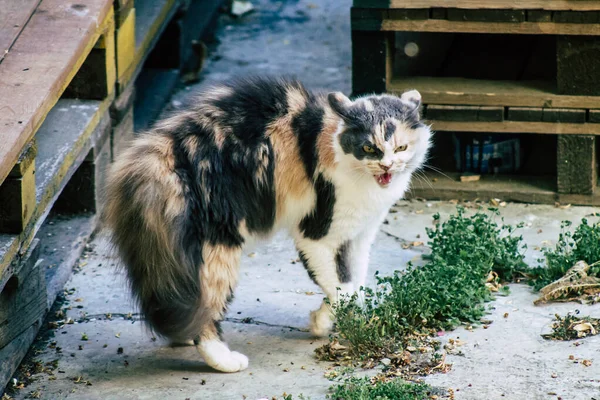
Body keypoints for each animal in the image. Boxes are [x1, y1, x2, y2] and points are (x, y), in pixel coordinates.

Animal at [103, 76, 432, 374]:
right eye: (368, 149)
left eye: (401, 148)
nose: (387, 166)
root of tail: (157, 152)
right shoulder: (317, 234)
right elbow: (342, 288)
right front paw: (329, 323)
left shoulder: (359, 237)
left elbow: (353, 285)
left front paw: (330, 319)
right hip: (218, 247)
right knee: (208, 313)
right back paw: (223, 359)